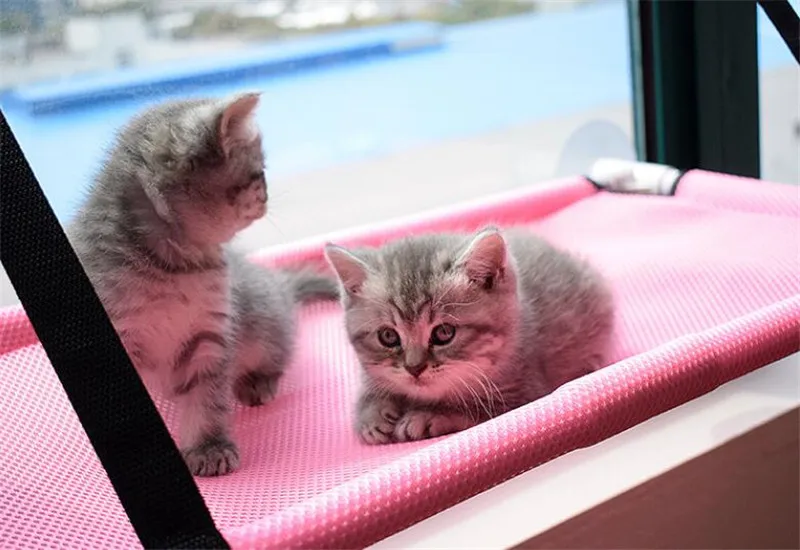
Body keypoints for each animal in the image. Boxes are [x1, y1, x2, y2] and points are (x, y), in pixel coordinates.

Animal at [67, 92, 338, 476]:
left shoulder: (209, 336)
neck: (174, 268)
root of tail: (277, 282)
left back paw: (258, 381)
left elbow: (208, 400)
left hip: (264, 320)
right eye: (260, 174)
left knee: (278, 352)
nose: (267, 198)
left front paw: (210, 446)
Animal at [324, 226, 614, 444]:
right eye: (388, 336)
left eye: (444, 333)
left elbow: (475, 407)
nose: (414, 368)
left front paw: (427, 415)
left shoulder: (527, 392)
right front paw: (371, 413)